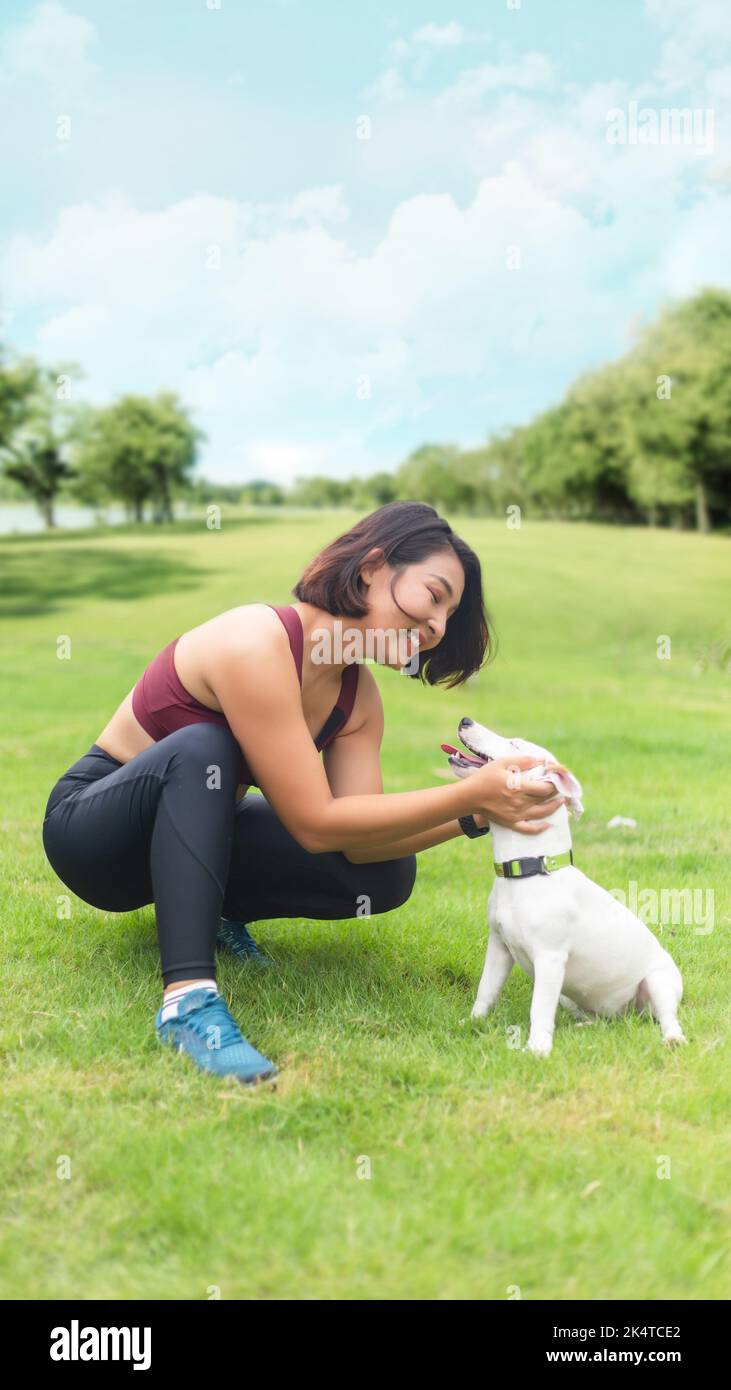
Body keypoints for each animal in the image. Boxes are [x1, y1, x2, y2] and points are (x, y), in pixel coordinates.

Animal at [444, 717, 692, 1050]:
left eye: (515, 744)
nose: (465, 720)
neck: (527, 870)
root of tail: (623, 1014)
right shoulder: (499, 947)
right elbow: (486, 991)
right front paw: (472, 1023)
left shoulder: (550, 958)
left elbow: (539, 1008)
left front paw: (537, 1049)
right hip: (572, 997)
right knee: (598, 1019)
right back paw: (586, 1026)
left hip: (658, 982)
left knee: (666, 1015)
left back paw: (673, 1037)